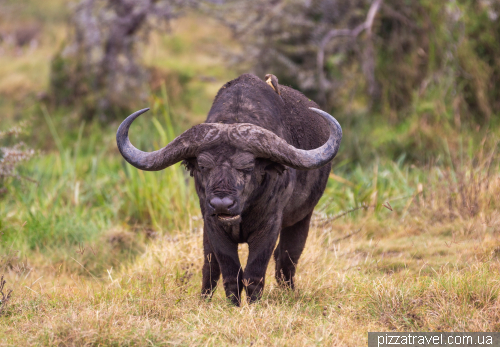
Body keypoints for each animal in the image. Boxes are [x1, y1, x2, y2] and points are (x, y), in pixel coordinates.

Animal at [115, 72, 342, 304]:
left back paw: (289, 292)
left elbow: (254, 273)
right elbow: (230, 271)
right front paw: (234, 303)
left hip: (302, 218)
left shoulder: (269, 226)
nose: (221, 204)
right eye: (203, 166)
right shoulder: (212, 225)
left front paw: (252, 303)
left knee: (287, 257)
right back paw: (204, 298)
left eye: (247, 167)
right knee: (210, 264)